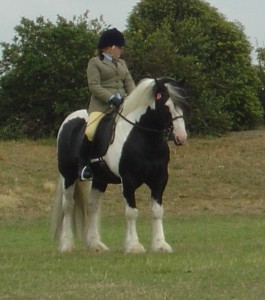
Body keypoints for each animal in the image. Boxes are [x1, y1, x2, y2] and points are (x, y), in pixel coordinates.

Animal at [51, 77, 188, 253]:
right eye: (166, 106)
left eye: (182, 105)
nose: (181, 137)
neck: (145, 139)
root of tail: (69, 120)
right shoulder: (128, 181)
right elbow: (131, 213)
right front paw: (134, 246)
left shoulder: (159, 180)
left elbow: (158, 211)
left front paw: (159, 244)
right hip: (68, 175)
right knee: (68, 206)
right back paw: (66, 245)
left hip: (100, 179)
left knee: (92, 206)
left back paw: (95, 244)